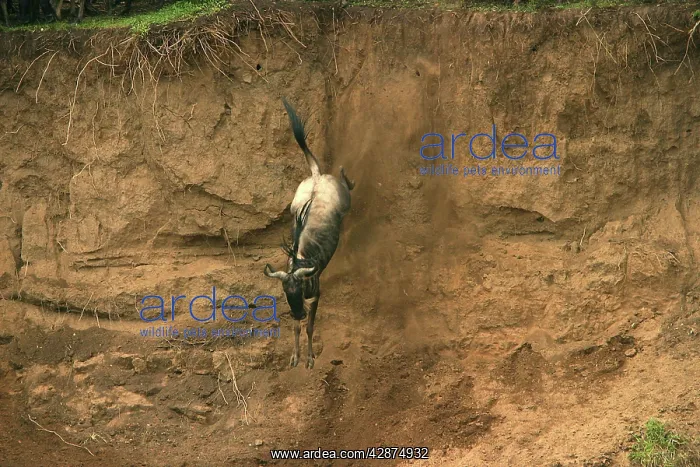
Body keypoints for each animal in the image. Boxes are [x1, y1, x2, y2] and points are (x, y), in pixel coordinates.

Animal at [264, 98, 355, 369]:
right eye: (286, 292)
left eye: (302, 287)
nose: (299, 312)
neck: (300, 260)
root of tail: (315, 177)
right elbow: (296, 329)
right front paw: (295, 357)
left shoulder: (314, 297)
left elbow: (310, 328)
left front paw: (311, 358)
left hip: (345, 201)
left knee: (347, 184)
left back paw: (346, 175)